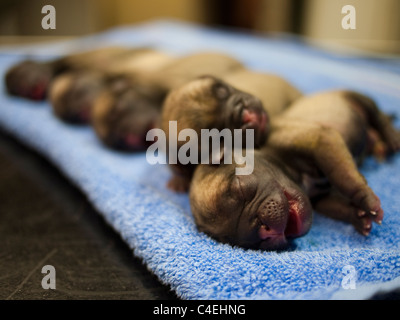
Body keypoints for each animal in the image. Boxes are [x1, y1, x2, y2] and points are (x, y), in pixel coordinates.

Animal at [189, 89, 398, 250]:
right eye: (231, 240)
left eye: (239, 188)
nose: (265, 232)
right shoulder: (321, 199)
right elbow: (338, 206)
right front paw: (358, 216)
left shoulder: (323, 141)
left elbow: (344, 177)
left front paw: (366, 200)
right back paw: (379, 146)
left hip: (359, 99)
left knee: (379, 117)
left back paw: (391, 138)